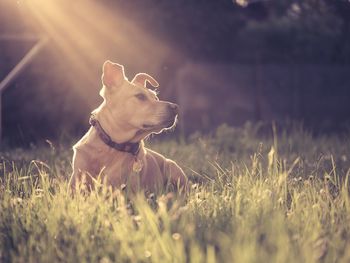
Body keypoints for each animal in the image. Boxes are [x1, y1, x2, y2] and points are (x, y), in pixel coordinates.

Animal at [69, 60, 187, 193]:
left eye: (156, 98)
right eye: (140, 96)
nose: (175, 107)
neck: (111, 146)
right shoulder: (76, 182)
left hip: (173, 168)